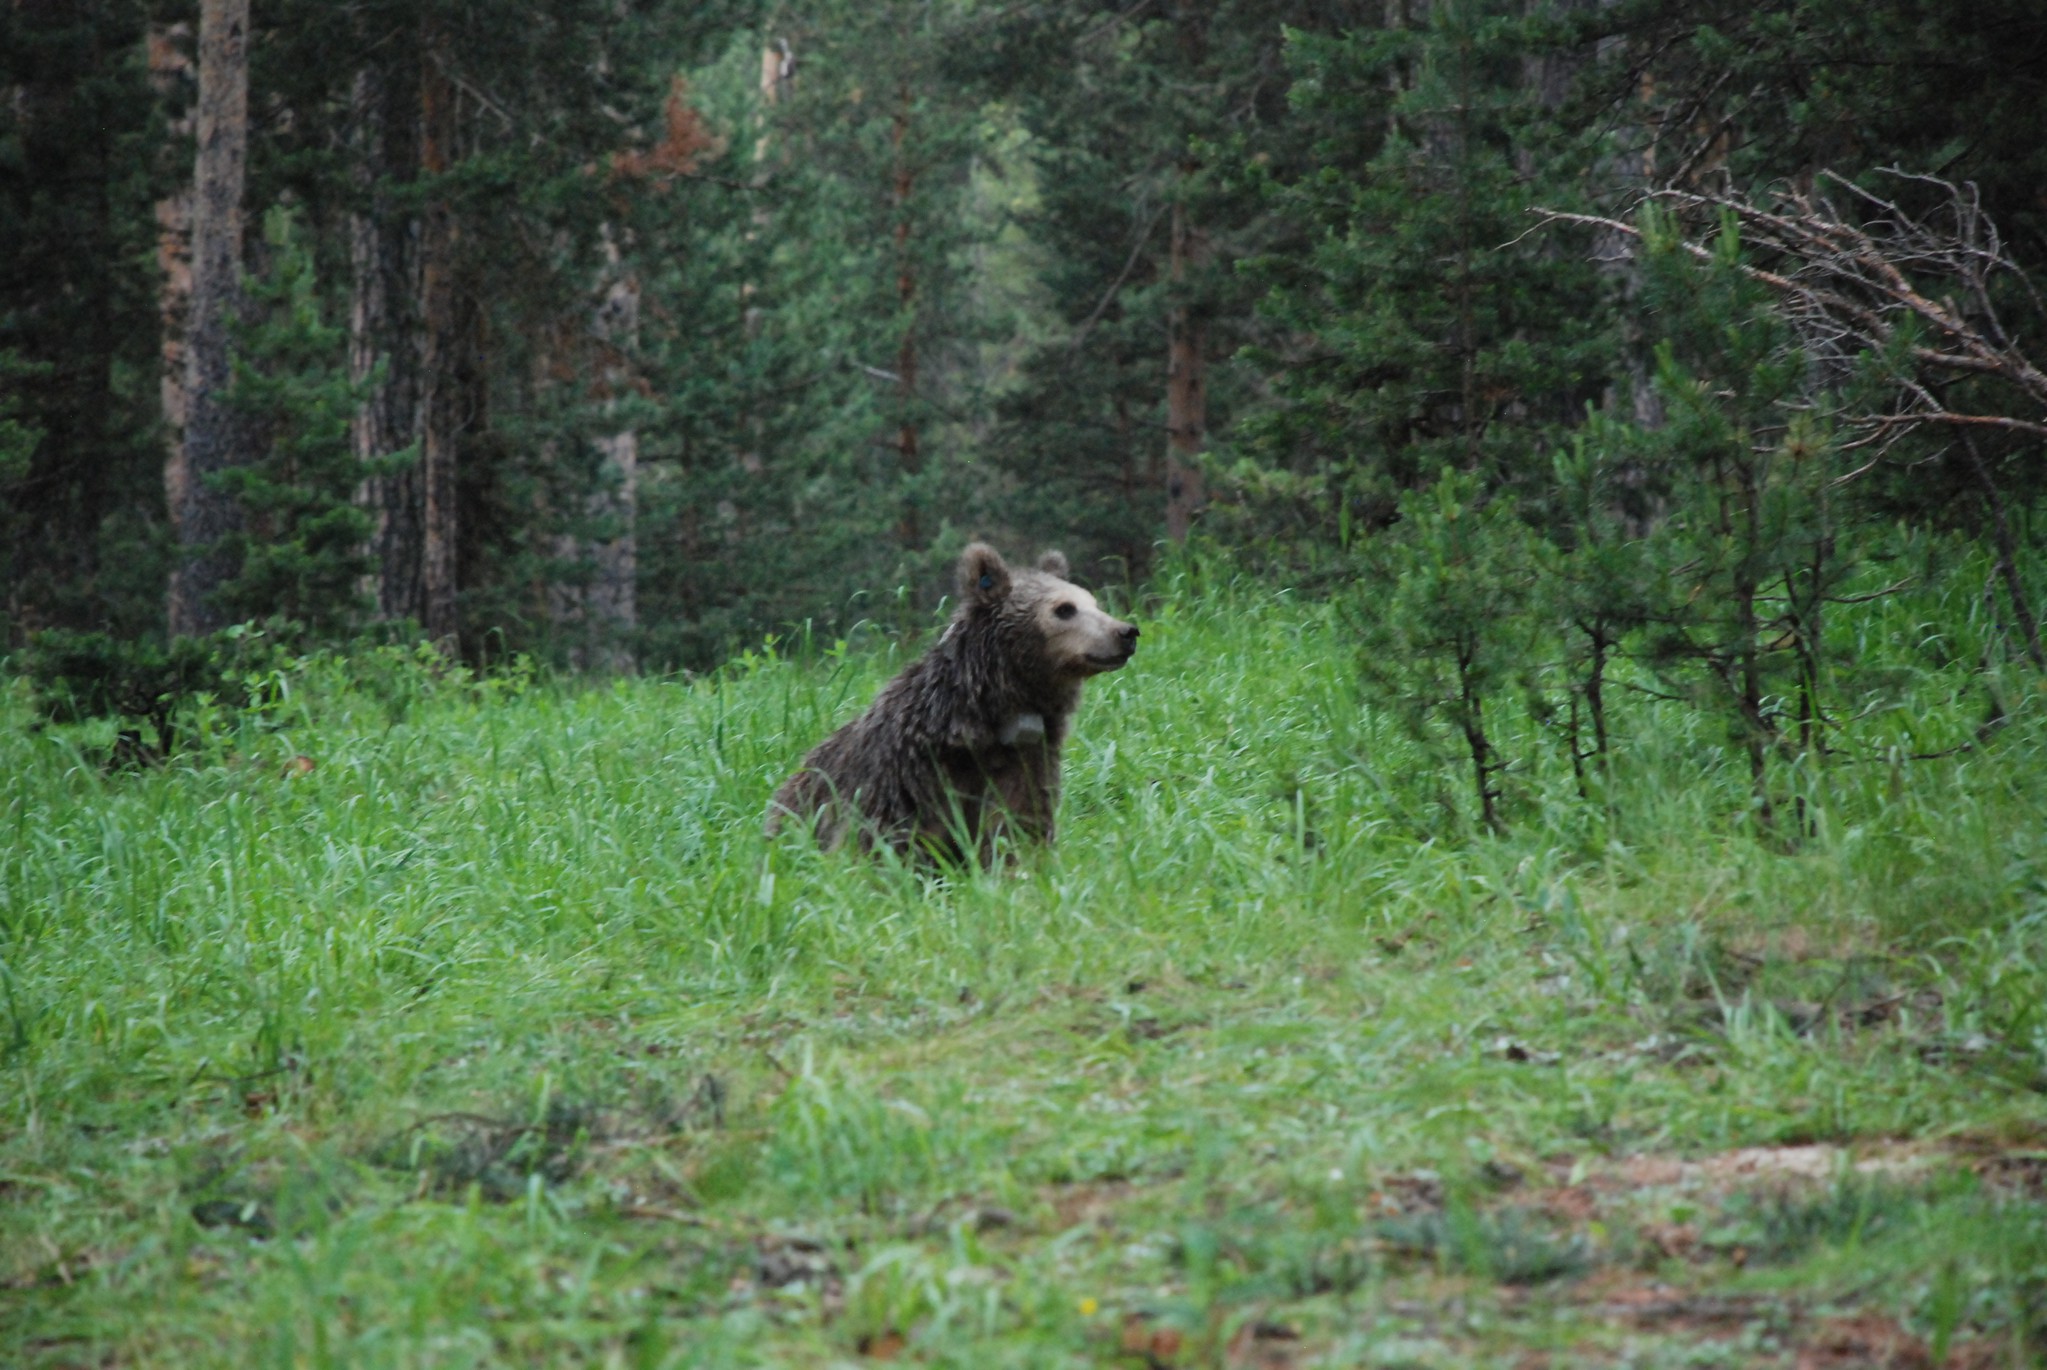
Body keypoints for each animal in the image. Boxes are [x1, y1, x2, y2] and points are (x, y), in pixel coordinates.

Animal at [769, 540, 1146, 855]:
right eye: (1064, 609)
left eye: (1094, 602)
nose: (1126, 632)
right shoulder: (909, 775)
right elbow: (892, 840)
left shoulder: (1026, 761)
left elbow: (1017, 828)